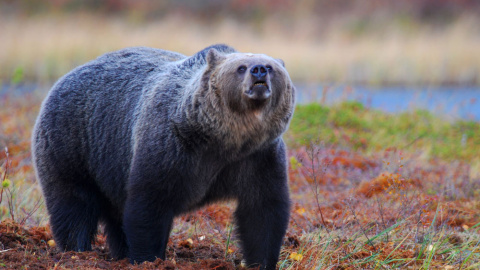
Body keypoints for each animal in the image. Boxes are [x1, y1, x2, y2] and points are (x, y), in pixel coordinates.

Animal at [31, 43, 296, 268]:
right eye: (240, 68)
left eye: (271, 67)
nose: (258, 70)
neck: (225, 140)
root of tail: (67, 75)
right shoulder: (171, 149)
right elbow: (149, 204)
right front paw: (148, 258)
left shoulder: (258, 157)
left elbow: (263, 210)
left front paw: (261, 261)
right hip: (73, 144)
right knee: (73, 204)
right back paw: (76, 251)